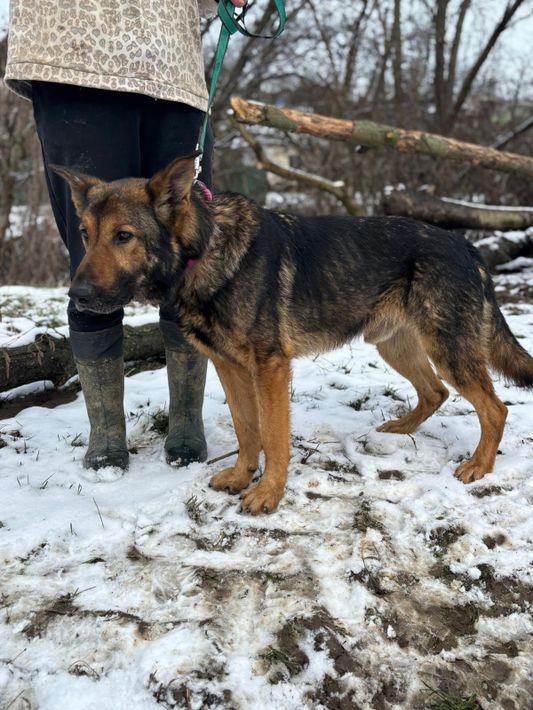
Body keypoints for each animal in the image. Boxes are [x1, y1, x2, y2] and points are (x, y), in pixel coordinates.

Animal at [53, 152, 533, 514]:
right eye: (85, 234)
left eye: (123, 236)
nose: (77, 296)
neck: (203, 248)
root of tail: (466, 246)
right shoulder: (230, 368)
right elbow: (247, 430)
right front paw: (242, 476)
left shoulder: (270, 369)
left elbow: (273, 435)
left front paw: (268, 492)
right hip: (393, 345)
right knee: (435, 392)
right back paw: (399, 430)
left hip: (447, 349)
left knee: (494, 408)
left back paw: (479, 466)